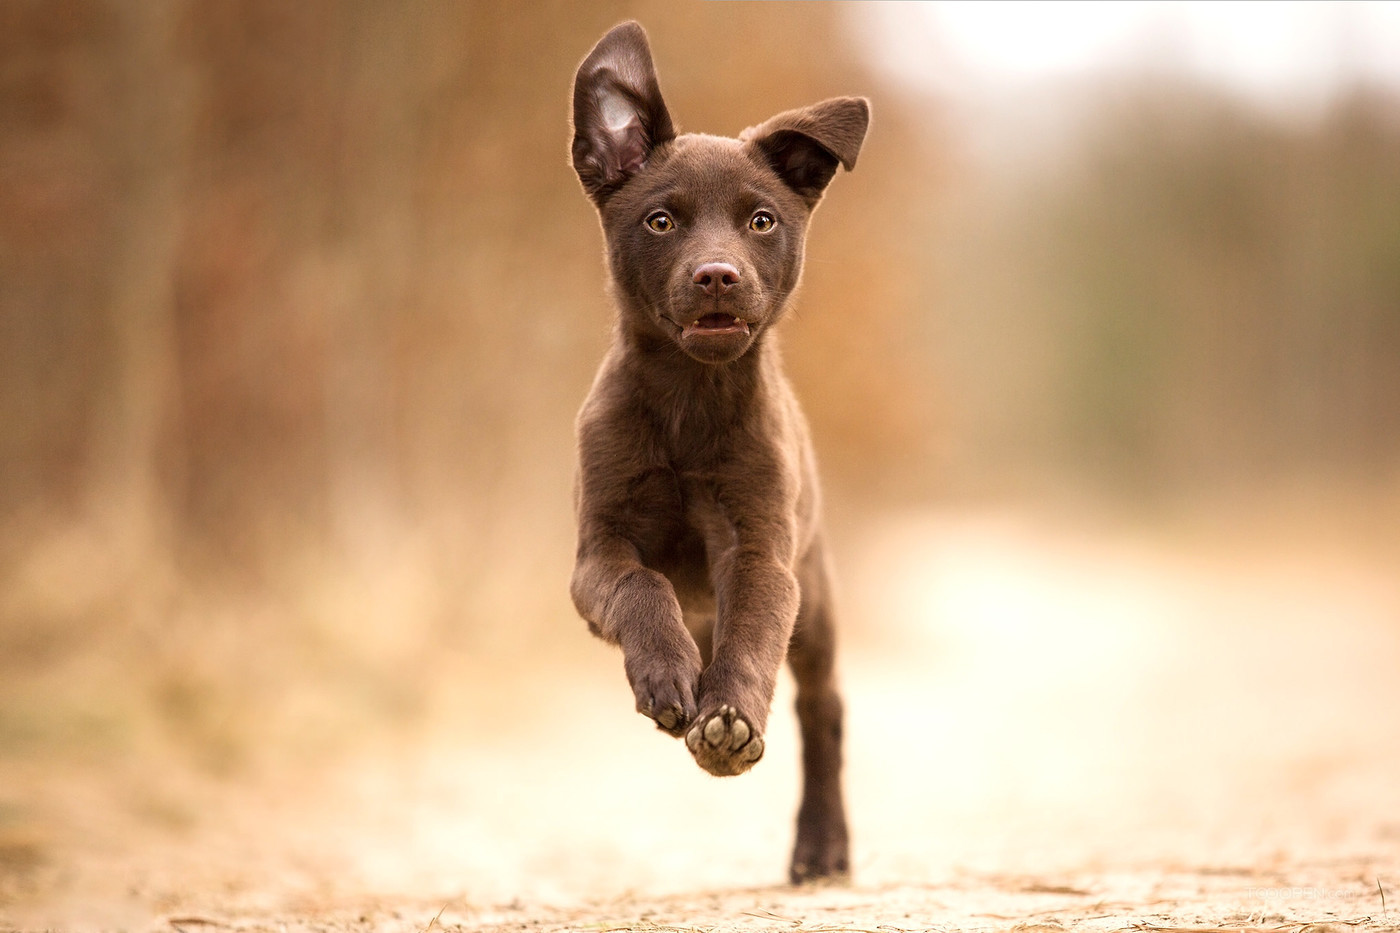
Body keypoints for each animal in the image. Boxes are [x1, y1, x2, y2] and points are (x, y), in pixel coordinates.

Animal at [568, 21, 862, 879]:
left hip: (817, 593)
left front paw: (728, 720)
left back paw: (821, 844)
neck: (689, 404)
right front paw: (667, 676)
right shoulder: (596, 554)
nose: (717, 276)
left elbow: (754, 633)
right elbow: (640, 586)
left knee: (823, 709)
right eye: (661, 222)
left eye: (761, 221)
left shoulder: (764, 549)